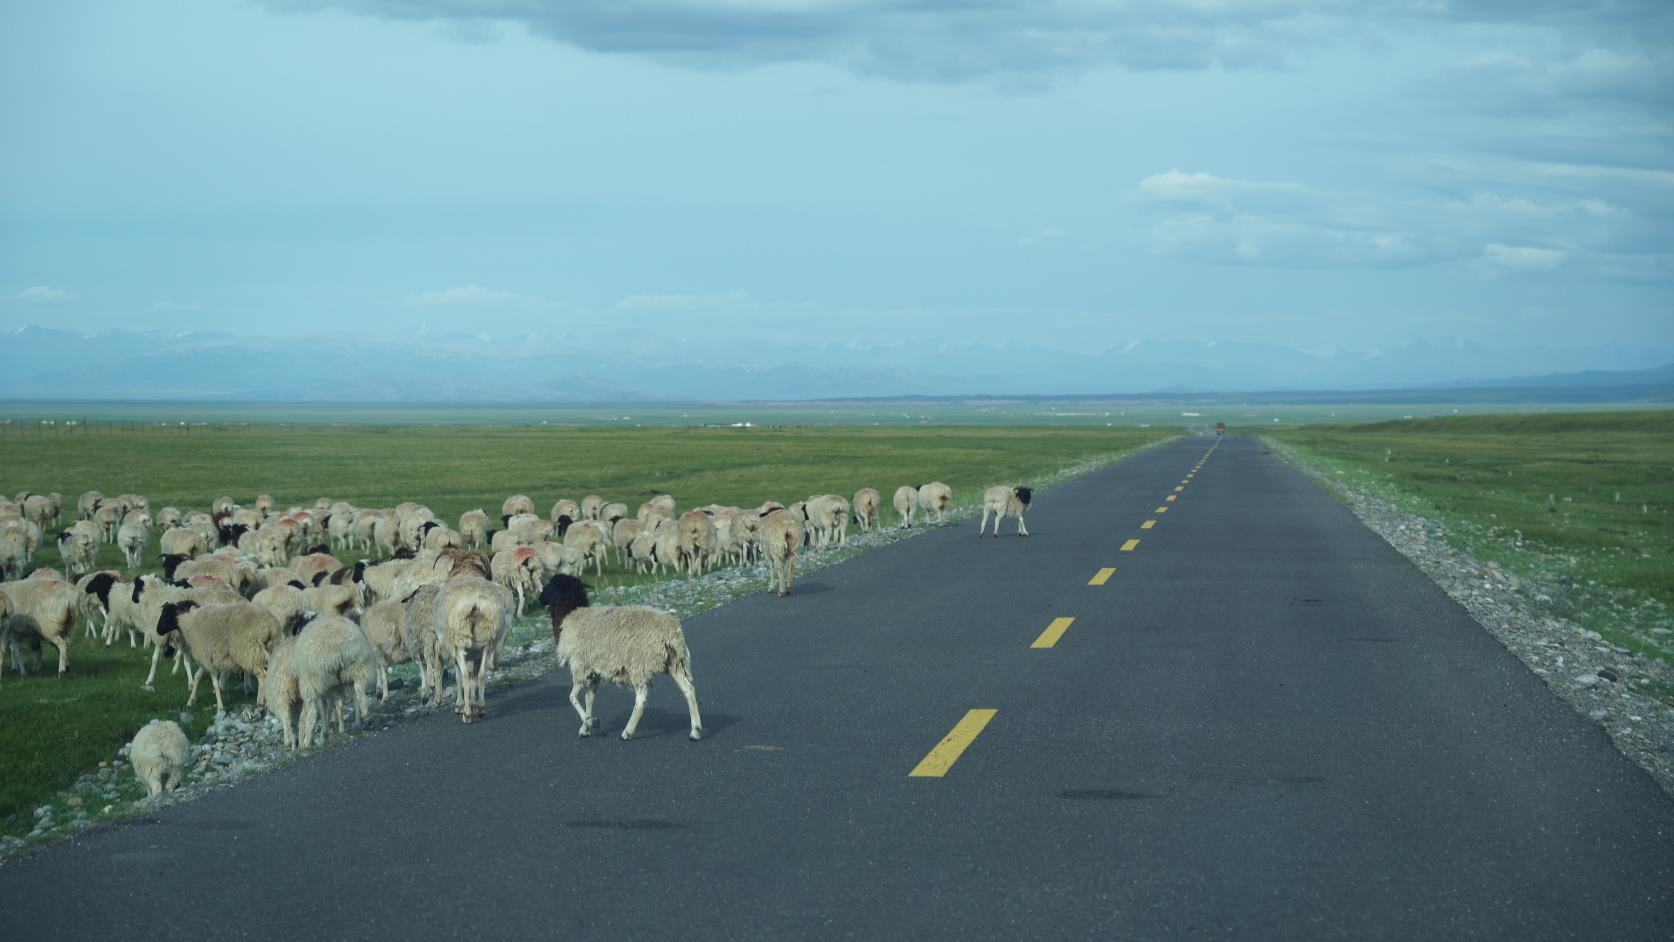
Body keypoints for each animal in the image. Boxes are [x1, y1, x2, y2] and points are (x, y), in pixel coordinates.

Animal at [153, 605, 281, 716]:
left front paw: (220, 706)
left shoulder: (207, 659)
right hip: (269, 649)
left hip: (249, 652)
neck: (188, 623)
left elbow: (215, 683)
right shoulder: (205, 659)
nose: (158, 631)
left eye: (166, 615)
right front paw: (190, 701)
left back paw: (260, 703)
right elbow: (197, 677)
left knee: (262, 676)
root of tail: (270, 626)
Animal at [431, 575, 508, 722]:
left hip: (459, 642)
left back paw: (466, 714)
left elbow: (459, 677)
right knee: (482, 675)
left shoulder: (455, 653)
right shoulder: (476, 654)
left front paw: (461, 705)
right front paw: (473, 703)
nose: (437, 700)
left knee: (465, 676)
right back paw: (481, 708)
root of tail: (476, 604)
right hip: (488, 642)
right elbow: (475, 677)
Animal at [539, 575, 703, 746]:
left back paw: (627, 732)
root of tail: (671, 632)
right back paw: (695, 731)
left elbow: (572, 698)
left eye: (551, 585)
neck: (569, 614)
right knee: (689, 690)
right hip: (675, 663)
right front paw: (585, 728)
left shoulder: (580, 667)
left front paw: (592, 722)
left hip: (639, 665)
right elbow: (589, 698)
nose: (539, 598)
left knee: (641, 699)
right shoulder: (593, 672)